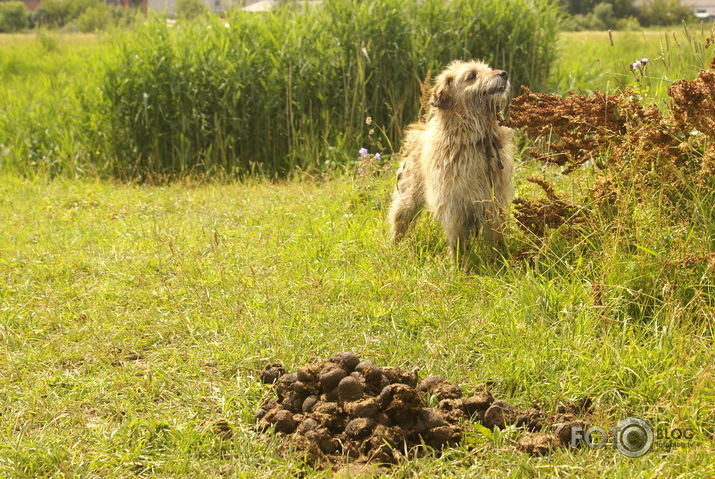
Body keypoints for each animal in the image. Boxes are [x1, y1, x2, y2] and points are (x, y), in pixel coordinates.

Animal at [388, 61, 512, 262]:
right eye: (472, 75)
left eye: (488, 69)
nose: (504, 73)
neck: (473, 140)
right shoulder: (454, 207)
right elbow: (458, 242)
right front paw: (458, 265)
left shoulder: (493, 203)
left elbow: (495, 237)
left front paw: (499, 260)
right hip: (407, 199)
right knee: (399, 222)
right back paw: (393, 249)